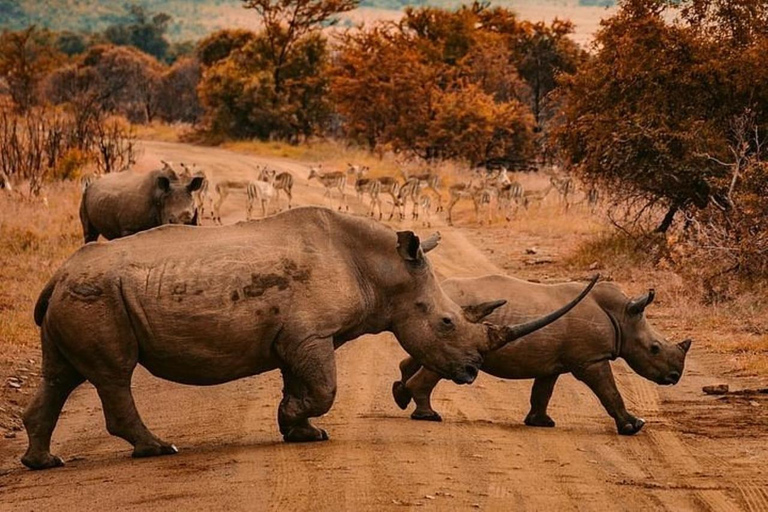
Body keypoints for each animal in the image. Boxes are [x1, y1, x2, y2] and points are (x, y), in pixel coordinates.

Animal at [22, 208, 597, 470]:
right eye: (447, 323)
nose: (472, 372)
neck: (382, 269)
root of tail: (56, 274)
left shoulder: (301, 337)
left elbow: (302, 383)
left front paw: (299, 430)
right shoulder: (311, 335)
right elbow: (324, 389)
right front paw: (299, 422)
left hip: (79, 292)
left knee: (61, 375)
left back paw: (43, 463)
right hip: (97, 294)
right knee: (113, 374)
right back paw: (158, 449)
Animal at [393, 275, 691, 435]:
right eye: (654, 348)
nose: (675, 377)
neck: (622, 316)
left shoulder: (552, 362)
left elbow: (543, 392)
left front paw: (541, 423)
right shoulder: (591, 359)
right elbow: (609, 391)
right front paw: (634, 426)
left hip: (440, 322)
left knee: (423, 354)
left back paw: (401, 396)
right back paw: (428, 415)